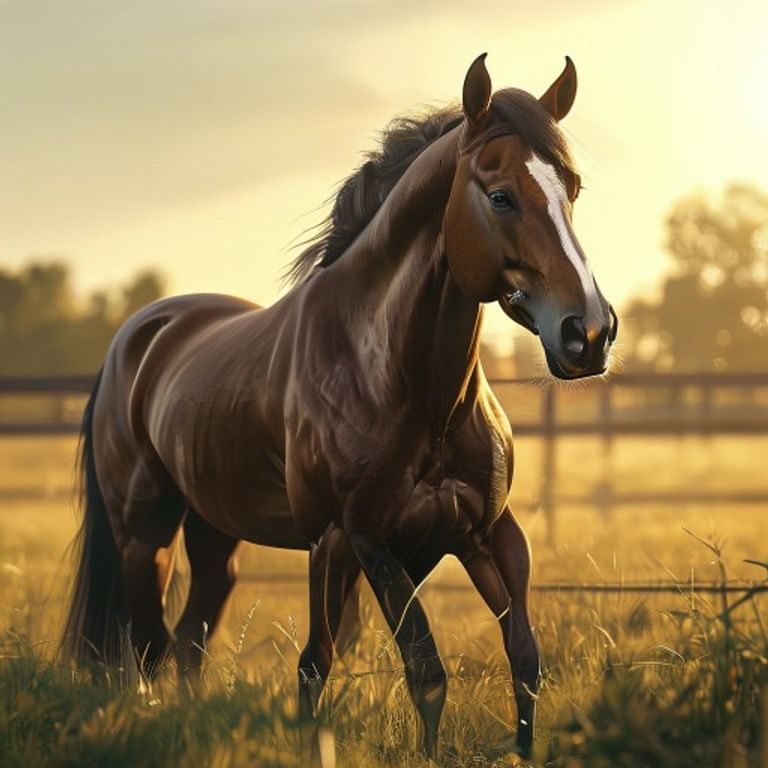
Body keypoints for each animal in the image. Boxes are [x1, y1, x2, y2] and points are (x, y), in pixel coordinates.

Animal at [63, 53, 616, 761]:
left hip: (215, 537)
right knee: (146, 650)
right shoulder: (352, 537)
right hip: (146, 533)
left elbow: (524, 660)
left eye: (570, 188)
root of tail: (136, 337)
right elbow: (399, 670)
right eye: (500, 196)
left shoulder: (485, 531)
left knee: (186, 644)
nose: (589, 333)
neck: (402, 381)